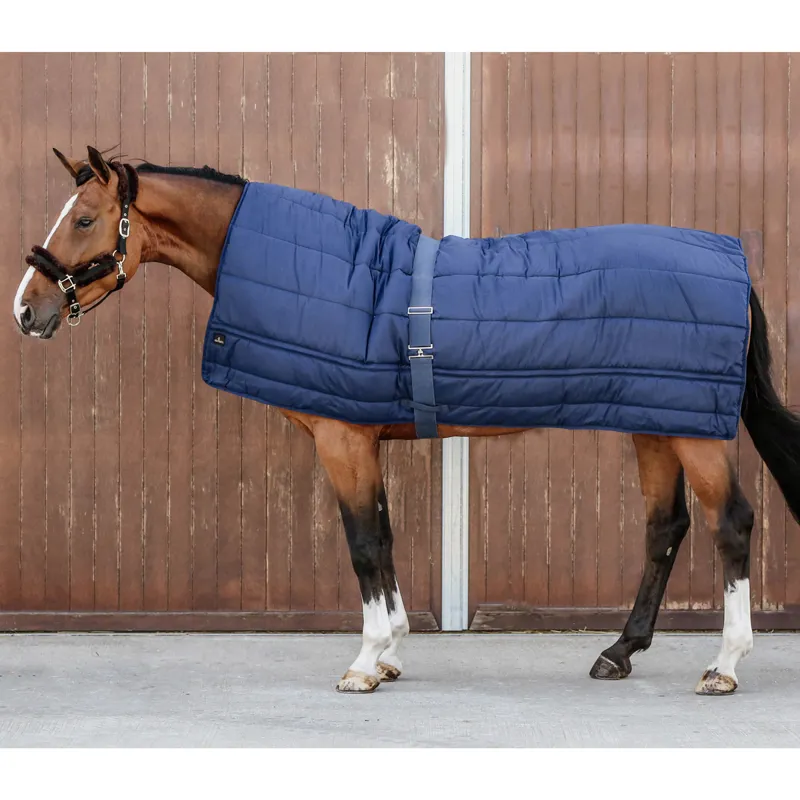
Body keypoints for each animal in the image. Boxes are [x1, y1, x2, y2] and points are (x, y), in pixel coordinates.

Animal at [12, 146, 800, 696]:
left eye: (84, 219)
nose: (26, 310)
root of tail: (731, 261)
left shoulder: (343, 440)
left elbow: (363, 545)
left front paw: (363, 662)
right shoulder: (365, 438)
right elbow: (385, 540)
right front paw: (390, 650)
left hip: (693, 432)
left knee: (731, 525)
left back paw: (724, 665)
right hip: (656, 420)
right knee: (665, 529)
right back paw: (618, 652)